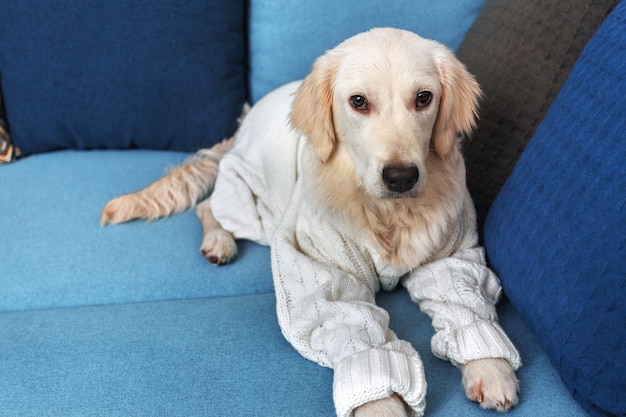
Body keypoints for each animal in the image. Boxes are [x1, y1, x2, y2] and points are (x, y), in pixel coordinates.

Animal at [102, 28, 520, 416]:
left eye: (423, 98)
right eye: (358, 101)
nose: (401, 177)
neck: (385, 214)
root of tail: (247, 118)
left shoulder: (451, 256)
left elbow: (464, 303)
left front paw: (491, 368)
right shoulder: (322, 273)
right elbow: (354, 327)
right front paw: (381, 403)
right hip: (255, 198)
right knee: (210, 207)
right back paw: (219, 242)